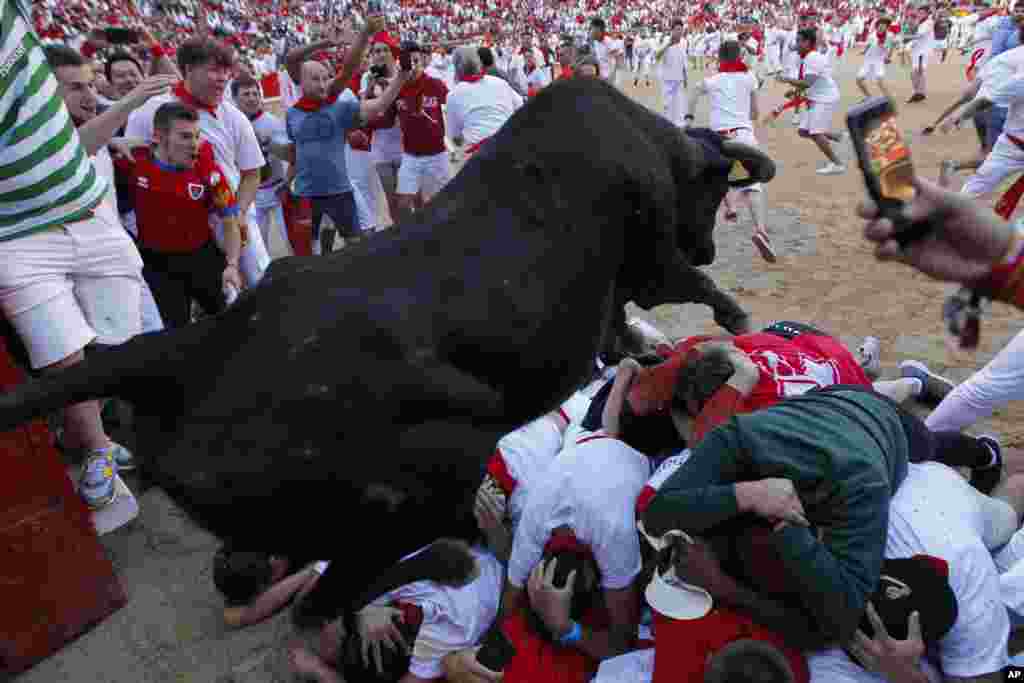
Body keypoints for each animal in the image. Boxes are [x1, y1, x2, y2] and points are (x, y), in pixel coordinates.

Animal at [0, 78, 770, 618]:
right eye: (711, 192)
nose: (710, 240)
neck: (639, 140)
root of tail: (196, 350)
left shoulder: (618, 292)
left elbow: (621, 332)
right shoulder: (653, 262)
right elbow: (688, 285)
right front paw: (731, 320)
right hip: (420, 485)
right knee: (326, 602)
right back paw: (455, 560)